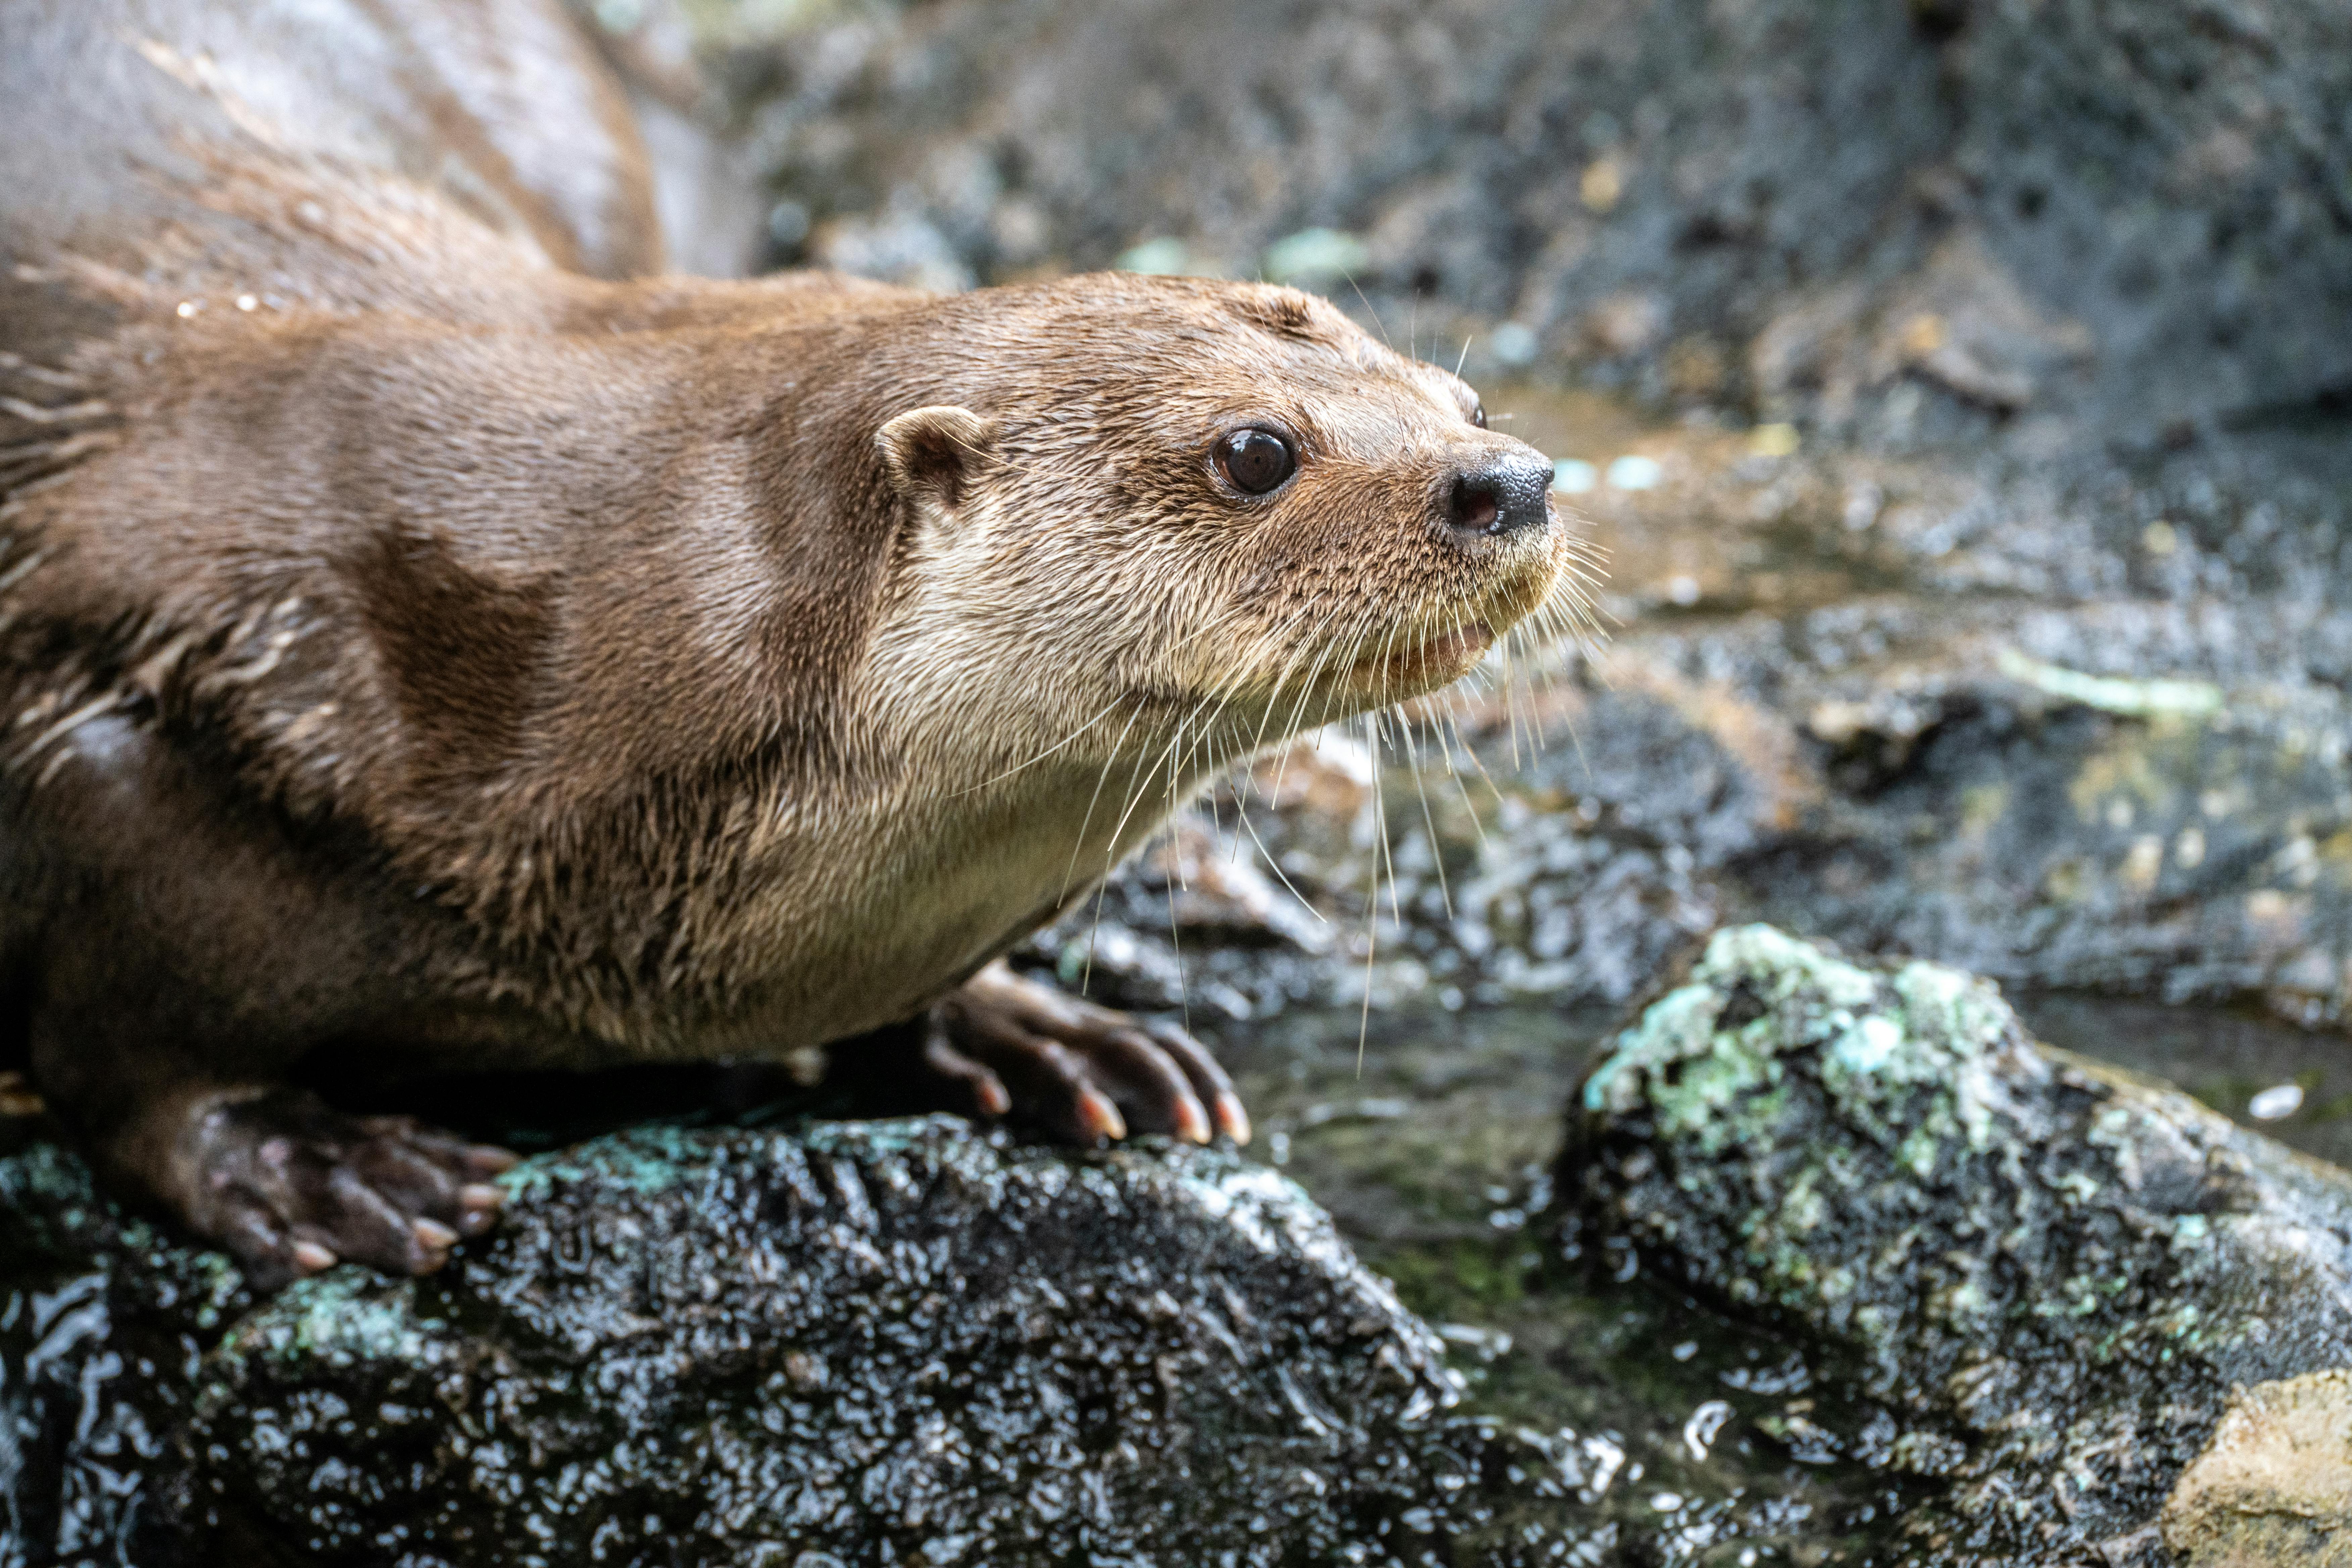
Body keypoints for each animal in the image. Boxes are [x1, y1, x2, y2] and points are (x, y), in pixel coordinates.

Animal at [0, 0, 1579, 1287]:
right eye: (1256, 450)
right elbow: (123, 1044)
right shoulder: (120, 722)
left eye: (1458, 394)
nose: (1514, 478)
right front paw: (298, 1162)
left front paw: (1037, 1030)